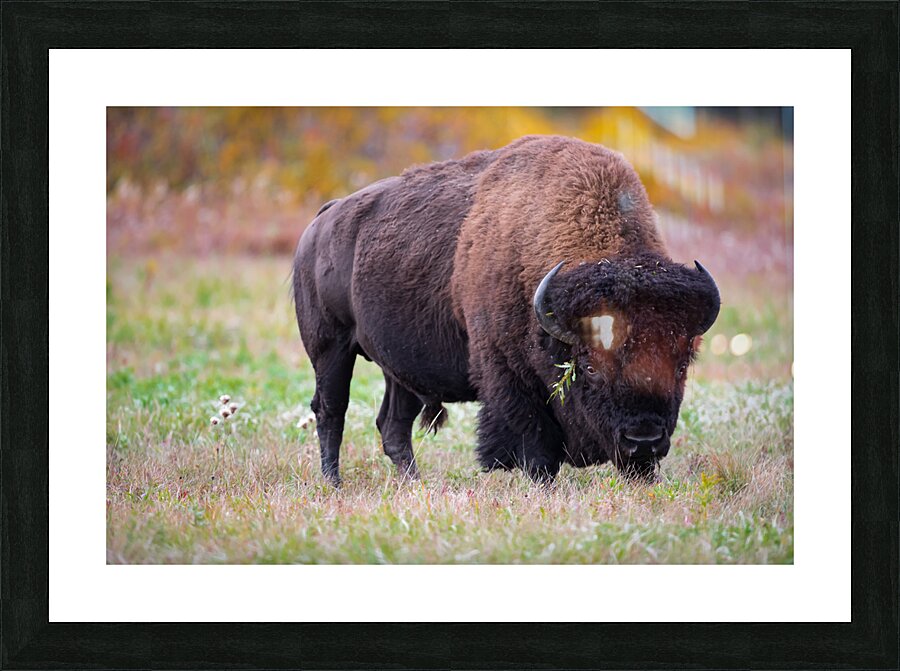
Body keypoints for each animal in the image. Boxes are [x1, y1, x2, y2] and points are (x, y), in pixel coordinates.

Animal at [293, 135, 720, 485]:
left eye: (681, 364)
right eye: (589, 367)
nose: (643, 439)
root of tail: (322, 220)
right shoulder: (507, 375)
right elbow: (535, 443)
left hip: (400, 369)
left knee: (393, 425)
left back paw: (414, 485)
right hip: (331, 349)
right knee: (331, 410)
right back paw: (334, 483)